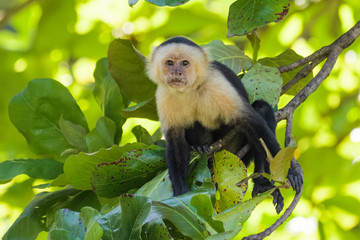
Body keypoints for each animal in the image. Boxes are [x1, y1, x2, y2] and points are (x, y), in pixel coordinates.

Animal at [146, 36, 304, 213]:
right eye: (170, 62)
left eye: (185, 63)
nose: (176, 73)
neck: (190, 89)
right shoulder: (163, 95)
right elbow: (175, 141)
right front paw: (180, 194)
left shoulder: (217, 84)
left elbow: (250, 122)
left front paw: (290, 171)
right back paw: (200, 147)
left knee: (261, 112)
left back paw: (262, 181)